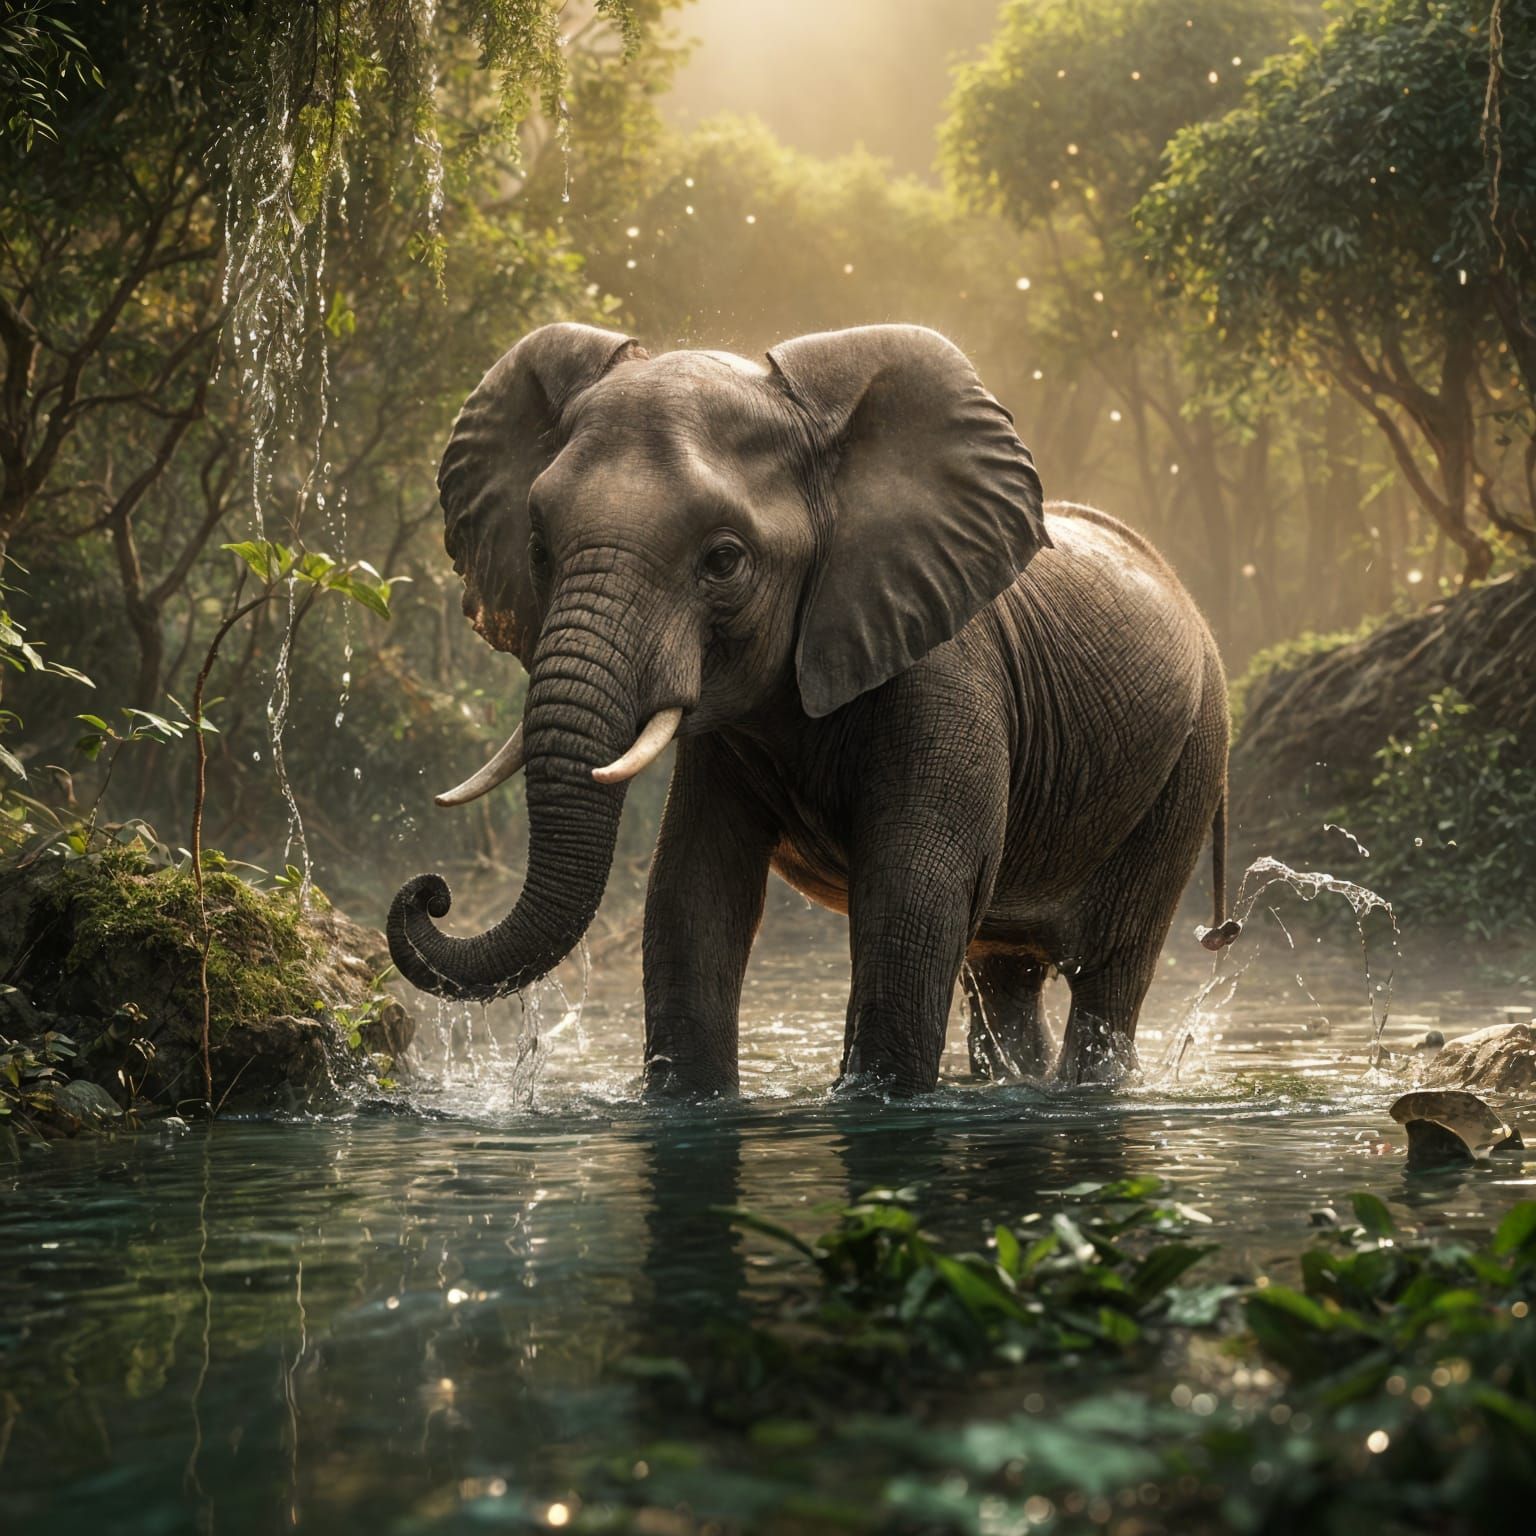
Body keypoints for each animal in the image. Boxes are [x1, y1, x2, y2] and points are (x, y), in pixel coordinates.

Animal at [387, 322, 1236, 1096]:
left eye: (723, 560)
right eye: (538, 548)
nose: (432, 891)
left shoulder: (949, 675)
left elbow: (912, 902)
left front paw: (879, 1103)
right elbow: (692, 894)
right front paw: (688, 1102)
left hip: (1192, 757)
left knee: (1109, 970)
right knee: (1003, 978)